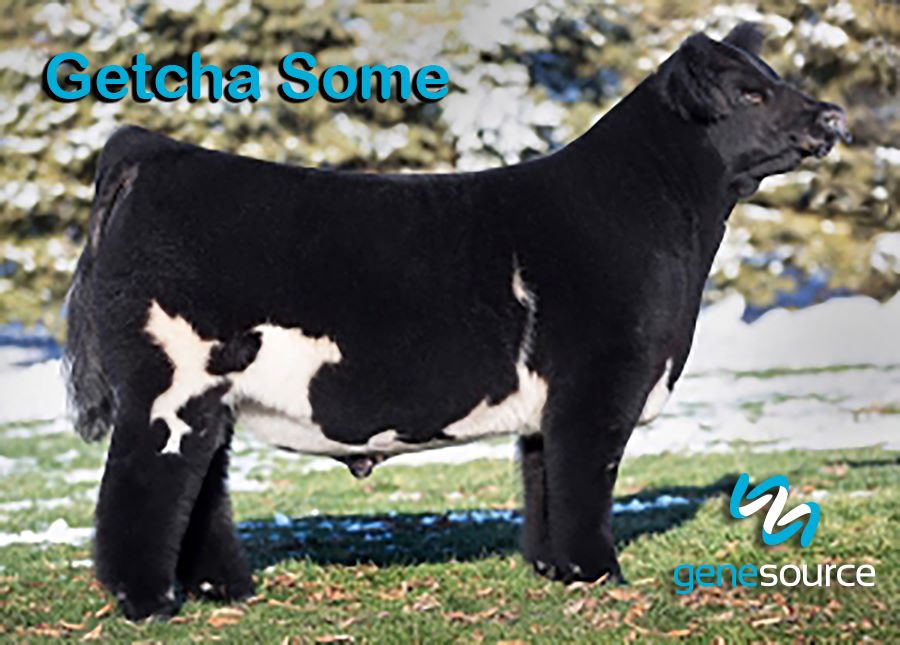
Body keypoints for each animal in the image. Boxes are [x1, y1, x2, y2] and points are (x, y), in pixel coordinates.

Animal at [64, 23, 849, 619]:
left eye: (773, 77)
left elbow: (544, 482)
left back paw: (224, 589)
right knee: (141, 486)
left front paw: (555, 571)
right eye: (750, 92)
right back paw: (149, 604)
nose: (830, 116)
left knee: (199, 490)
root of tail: (154, 152)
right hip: (169, 387)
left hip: (213, 397)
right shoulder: (599, 384)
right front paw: (600, 573)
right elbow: (586, 480)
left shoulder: (550, 404)